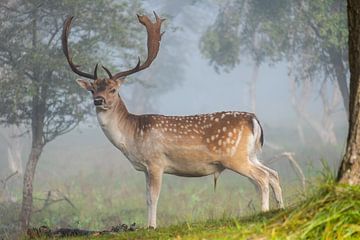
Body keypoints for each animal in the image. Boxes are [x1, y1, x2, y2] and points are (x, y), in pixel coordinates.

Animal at [62, 11, 284, 229]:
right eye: (92, 89)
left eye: (113, 89)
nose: (98, 100)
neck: (132, 136)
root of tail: (253, 120)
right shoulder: (145, 168)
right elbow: (146, 198)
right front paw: (148, 225)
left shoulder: (156, 162)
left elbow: (153, 197)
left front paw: (152, 227)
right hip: (251, 154)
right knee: (273, 173)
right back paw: (280, 208)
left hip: (234, 156)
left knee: (262, 177)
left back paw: (264, 211)